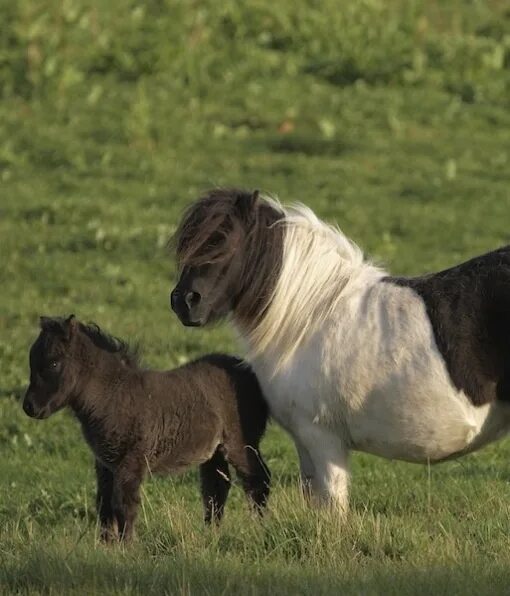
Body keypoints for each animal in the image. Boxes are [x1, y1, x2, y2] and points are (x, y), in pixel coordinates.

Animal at [22, 314, 270, 544]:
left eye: (54, 363)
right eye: (31, 361)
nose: (29, 407)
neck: (112, 396)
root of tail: (249, 371)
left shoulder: (131, 462)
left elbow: (124, 506)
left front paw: (127, 547)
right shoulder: (105, 464)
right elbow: (104, 505)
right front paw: (106, 547)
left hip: (239, 443)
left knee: (257, 480)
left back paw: (259, 530)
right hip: (214, 451)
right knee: (216, 489)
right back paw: (212, 534)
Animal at [170, 190, 510, 512]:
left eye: (225, 243)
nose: (183, 301)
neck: (309, 315)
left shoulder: (322, 438)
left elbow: (333, 507)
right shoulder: (305, 443)